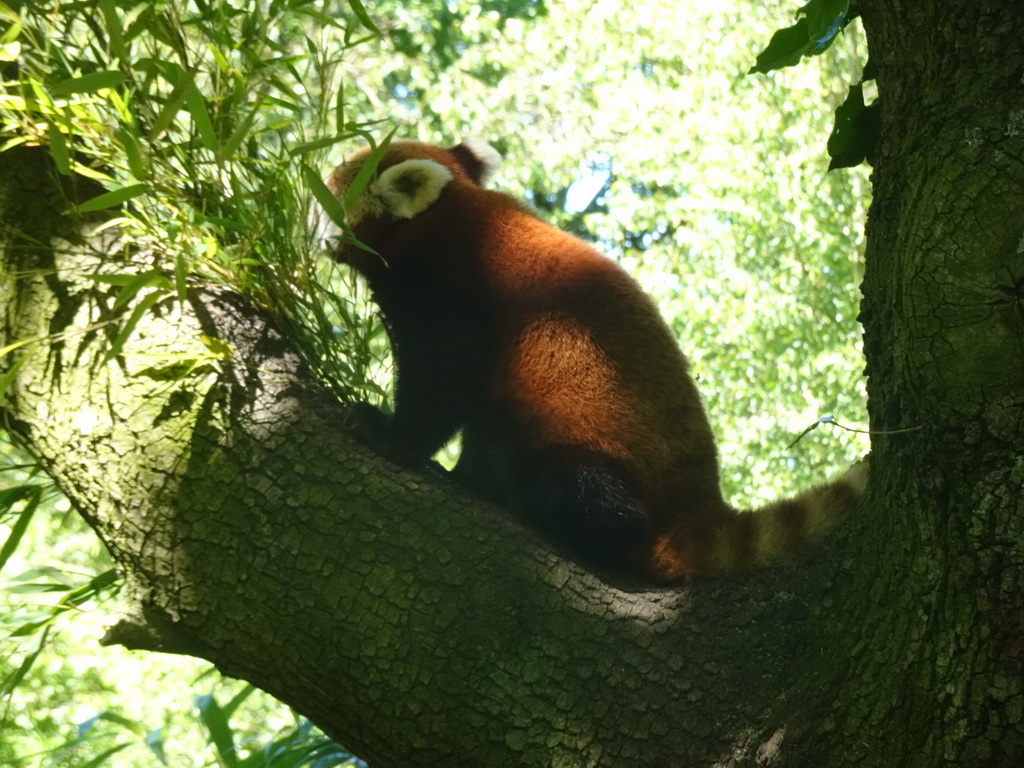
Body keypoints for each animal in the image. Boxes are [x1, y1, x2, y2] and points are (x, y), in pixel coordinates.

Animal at [325, 140, 864, 581]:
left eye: (327, 197)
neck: (448, 217)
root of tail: (692, 506)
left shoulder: (449, 291)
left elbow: (443, 378)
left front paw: (388, 435)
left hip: (580, 435)